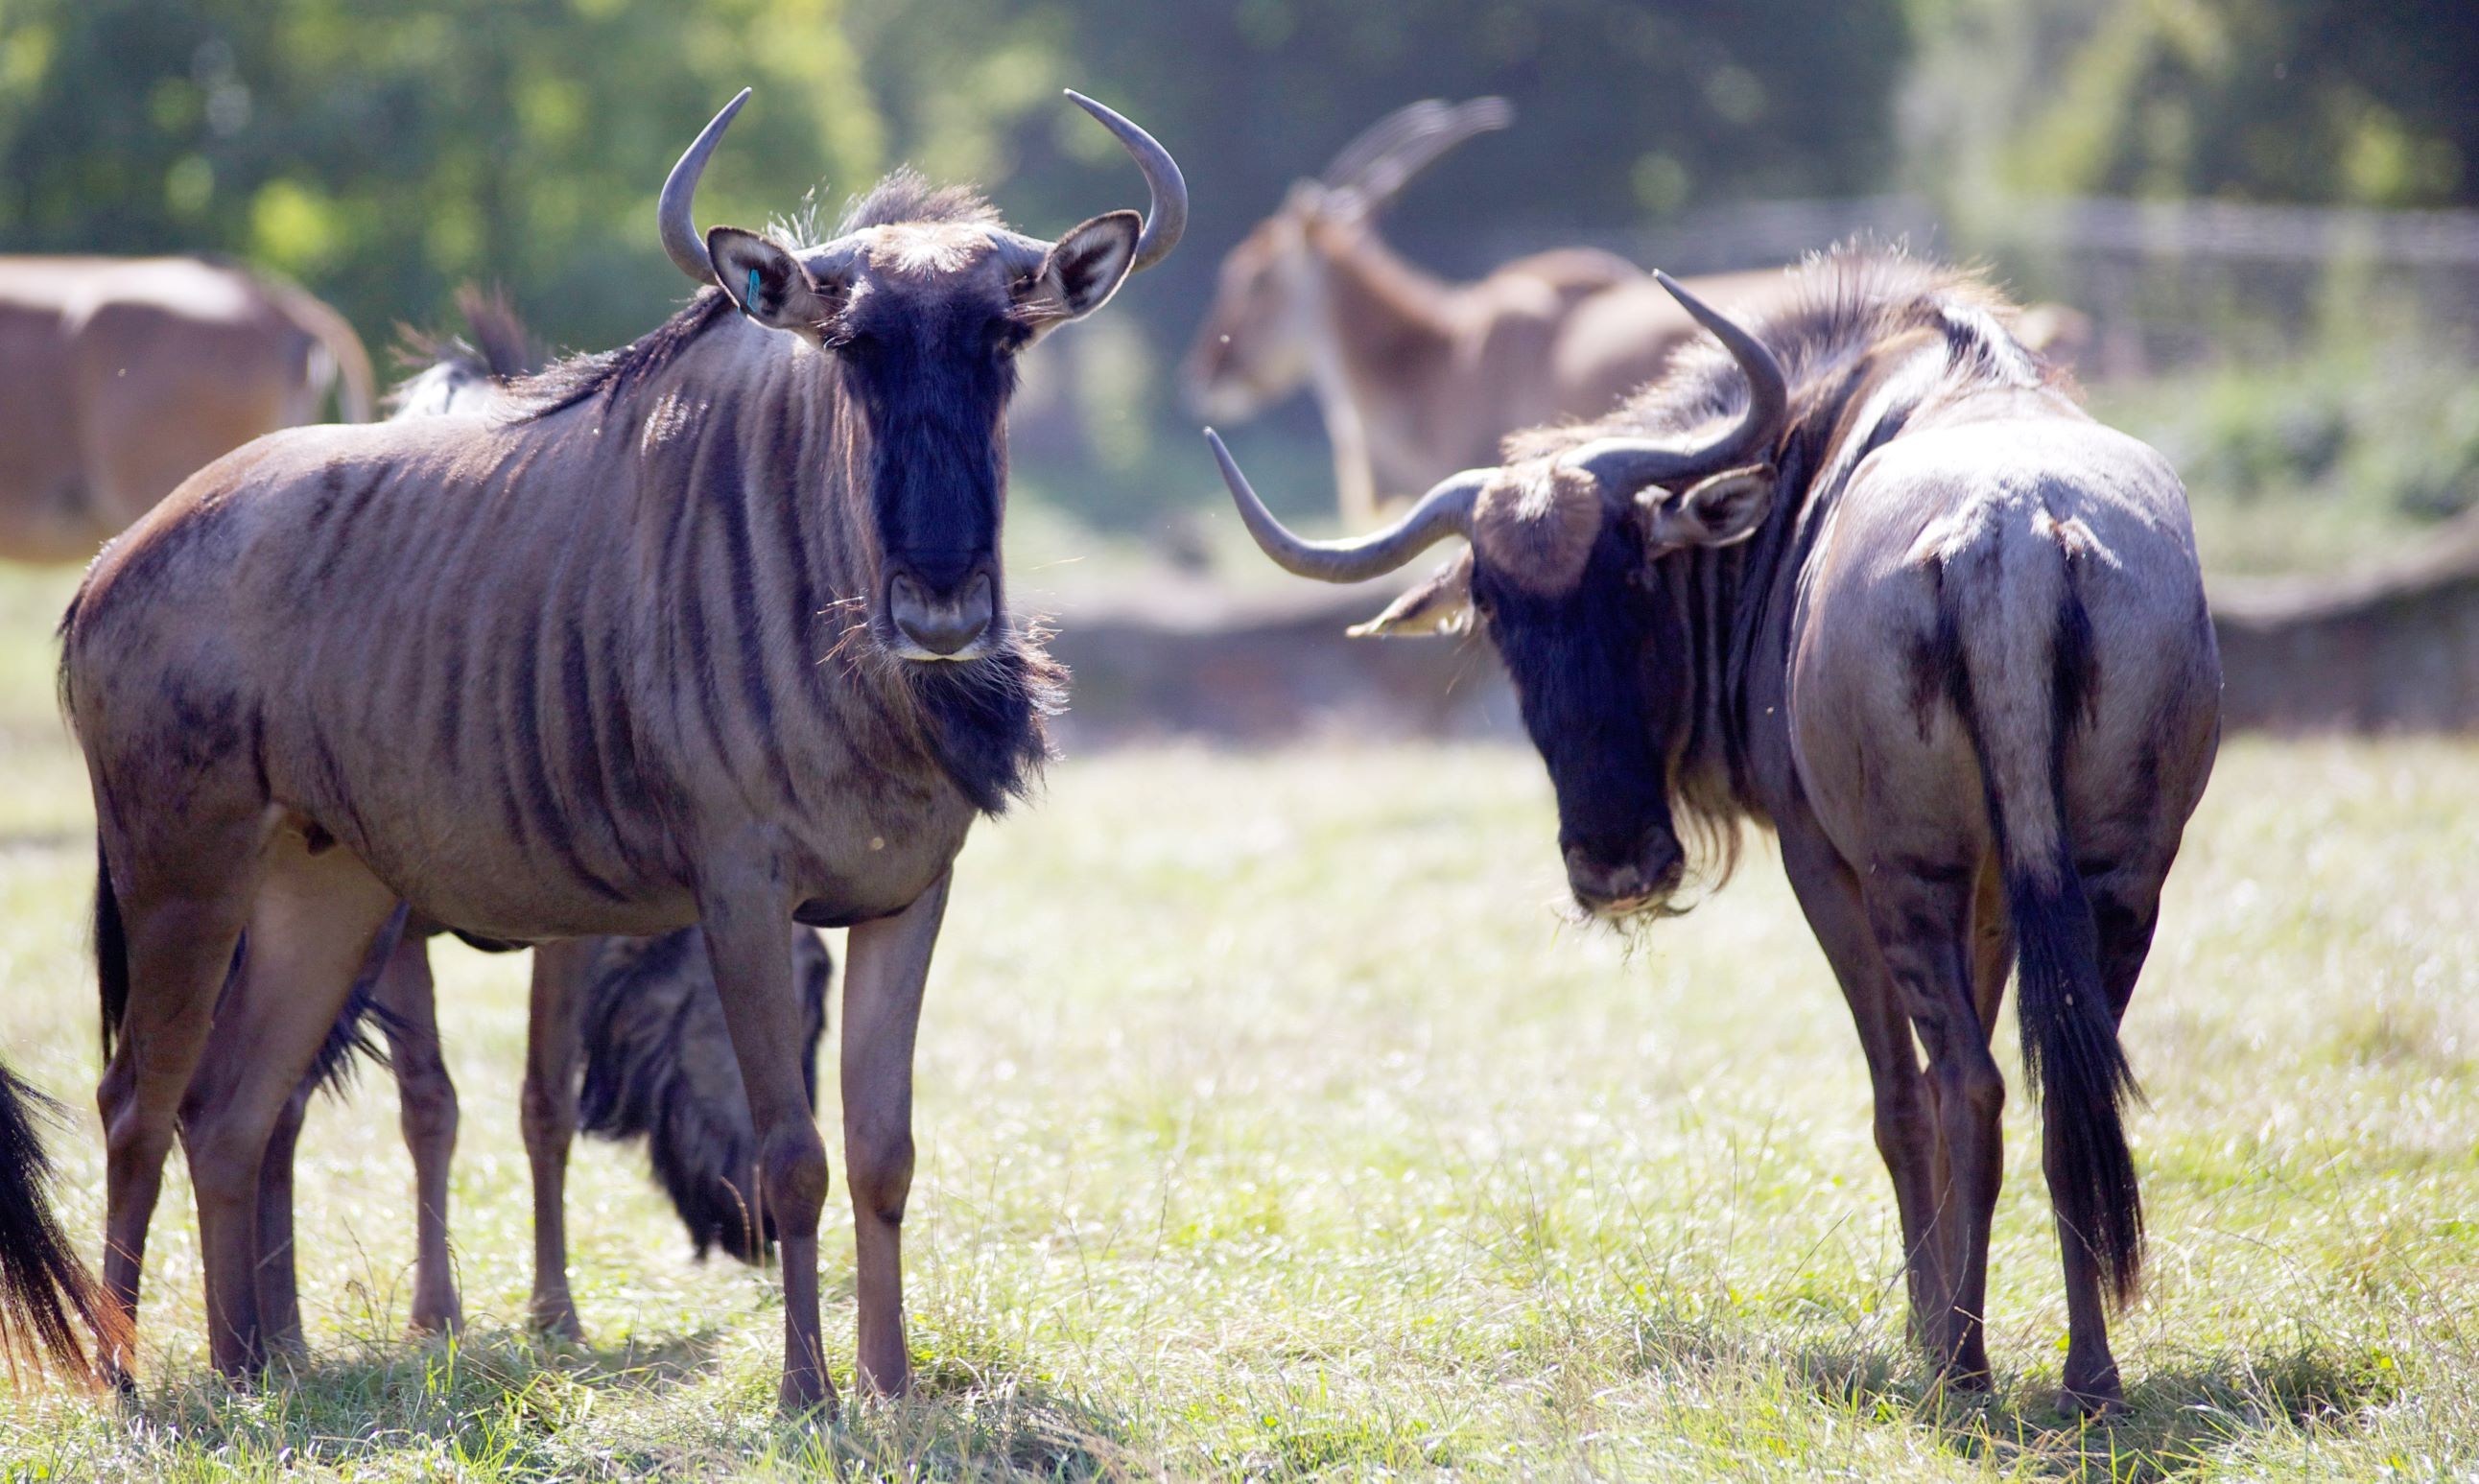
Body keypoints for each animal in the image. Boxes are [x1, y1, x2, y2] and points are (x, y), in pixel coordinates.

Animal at [1209, 249, 2221, 1406]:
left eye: (1632, 571)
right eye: (1498, 606)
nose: (1615, 864)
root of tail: (2008, 533)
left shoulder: (1825, 862)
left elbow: (1898, 1101)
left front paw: (1923, 1328)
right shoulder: (1999, 891)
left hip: (1906, 878)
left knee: (1967, 1085)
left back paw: (1959, 1365)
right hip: (2114, 882)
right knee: (2071, 1088)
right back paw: (2086, 1371)